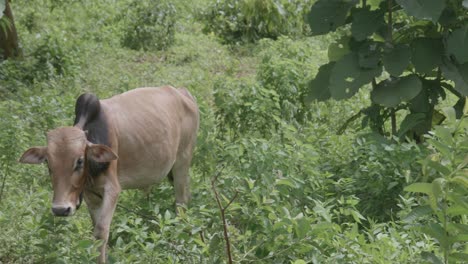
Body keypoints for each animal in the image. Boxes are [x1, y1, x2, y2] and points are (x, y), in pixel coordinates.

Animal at [19, 86, 199, 262]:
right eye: (48, 163)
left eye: (79, 161)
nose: (60, 209)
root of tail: (182, 92)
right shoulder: (91, 194)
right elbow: (95, 229)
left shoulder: (112, 189)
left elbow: (100, 232)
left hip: (182, 161)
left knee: (181, 203)